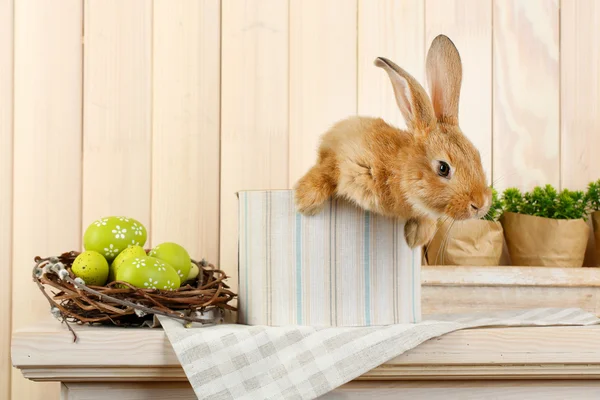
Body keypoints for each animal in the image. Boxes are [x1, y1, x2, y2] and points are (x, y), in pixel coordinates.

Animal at [292, 35, 490, 247]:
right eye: (443, 168)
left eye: (477, 156)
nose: (480, 204)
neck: (399, 171)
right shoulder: (343, 154)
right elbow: (327, 169)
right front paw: (306, 201)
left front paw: (416, 237)